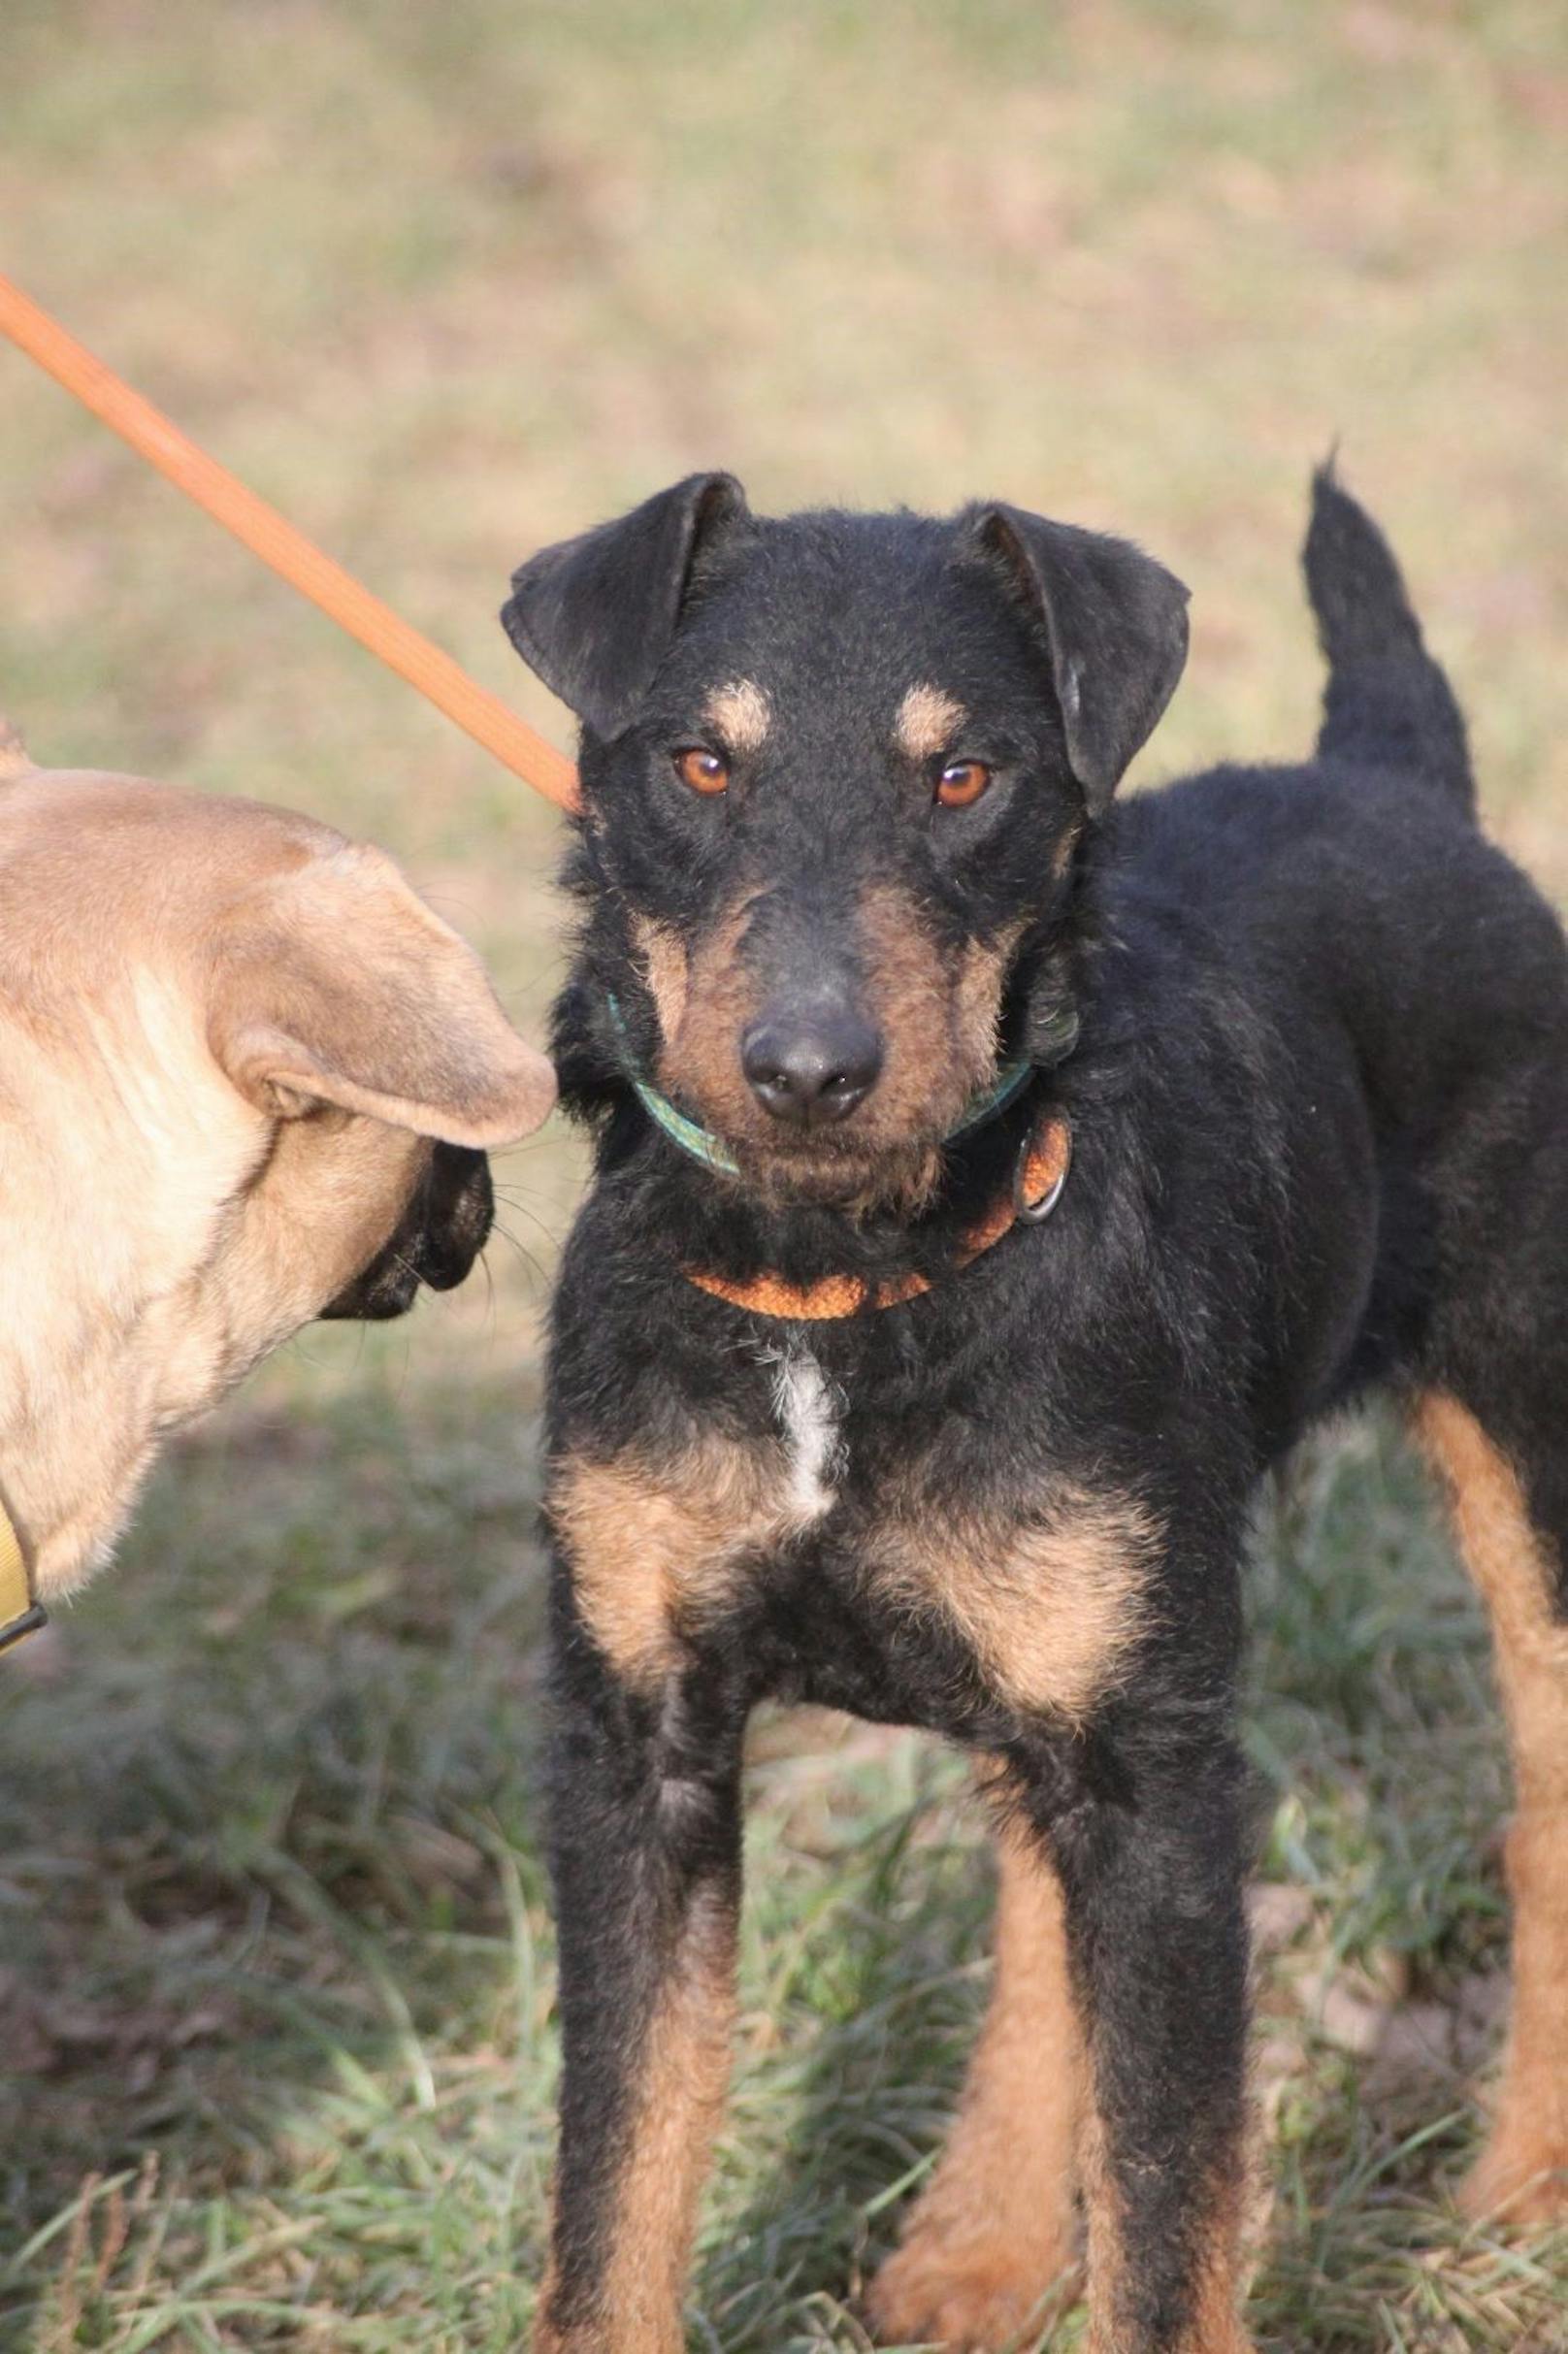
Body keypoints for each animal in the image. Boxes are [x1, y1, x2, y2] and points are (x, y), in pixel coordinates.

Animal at [501, 468, 1563, 2344]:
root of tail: (1399, 777)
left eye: (964, 775)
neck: (849, 1288)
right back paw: (980, 2247)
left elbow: (1169, 2220)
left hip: (1525, 1451)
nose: (808, 1071)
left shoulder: (1161, 1786)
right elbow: (613, 2204)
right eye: (697, 764)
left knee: (1543, 1809)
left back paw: (1518, 2188)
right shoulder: (639, 1748)